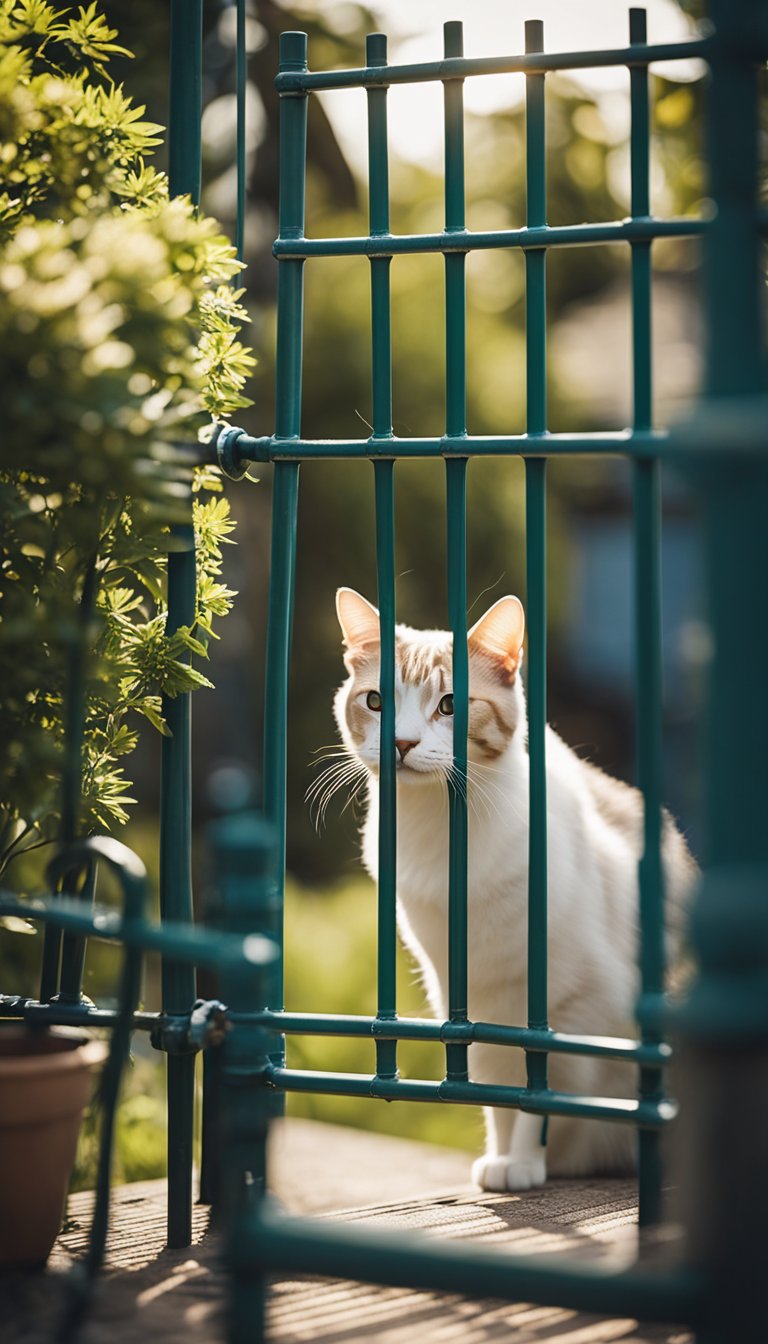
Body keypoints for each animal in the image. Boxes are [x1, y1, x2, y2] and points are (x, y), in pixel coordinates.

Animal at [328, 583, 699, 1193]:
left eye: (451, 705)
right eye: (376, 701)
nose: (402, 743)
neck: (439, 834)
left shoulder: (569, 1004)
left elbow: (535, 1091)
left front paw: (521, 1162)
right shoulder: (464, 1001)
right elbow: (492, 1093)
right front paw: (501, 1157)